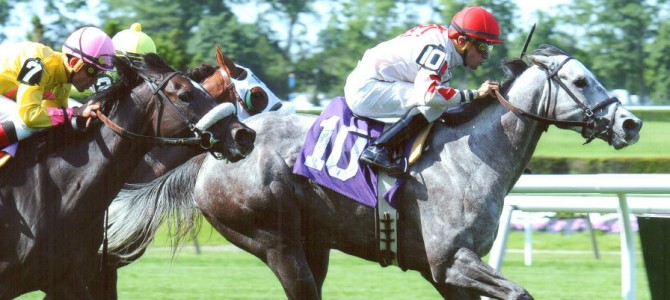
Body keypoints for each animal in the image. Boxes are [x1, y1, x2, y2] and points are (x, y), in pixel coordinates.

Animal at [111, 45, 644, 300]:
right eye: (580, 81)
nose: (631, 123)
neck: (475, 158)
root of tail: (212, 155)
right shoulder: (452, 262)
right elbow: (520, 293)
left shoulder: (447, 272)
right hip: (274, 241)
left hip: (314, 243)